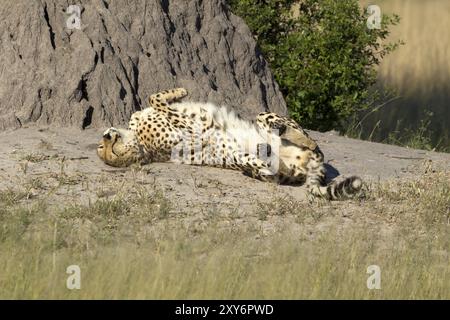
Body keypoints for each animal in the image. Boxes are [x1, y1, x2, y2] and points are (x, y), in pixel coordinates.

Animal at [98, 87, 362, 200]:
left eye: (104, 149)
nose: (105, 137)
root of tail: (307, 170)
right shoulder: (193, 129)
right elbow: (156, 98)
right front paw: (180, 91)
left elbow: (154, 96)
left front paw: (179, 91)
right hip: (246, 158)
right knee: (290, 159)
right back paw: (266, 158)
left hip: (264, 126)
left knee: (295, 137)